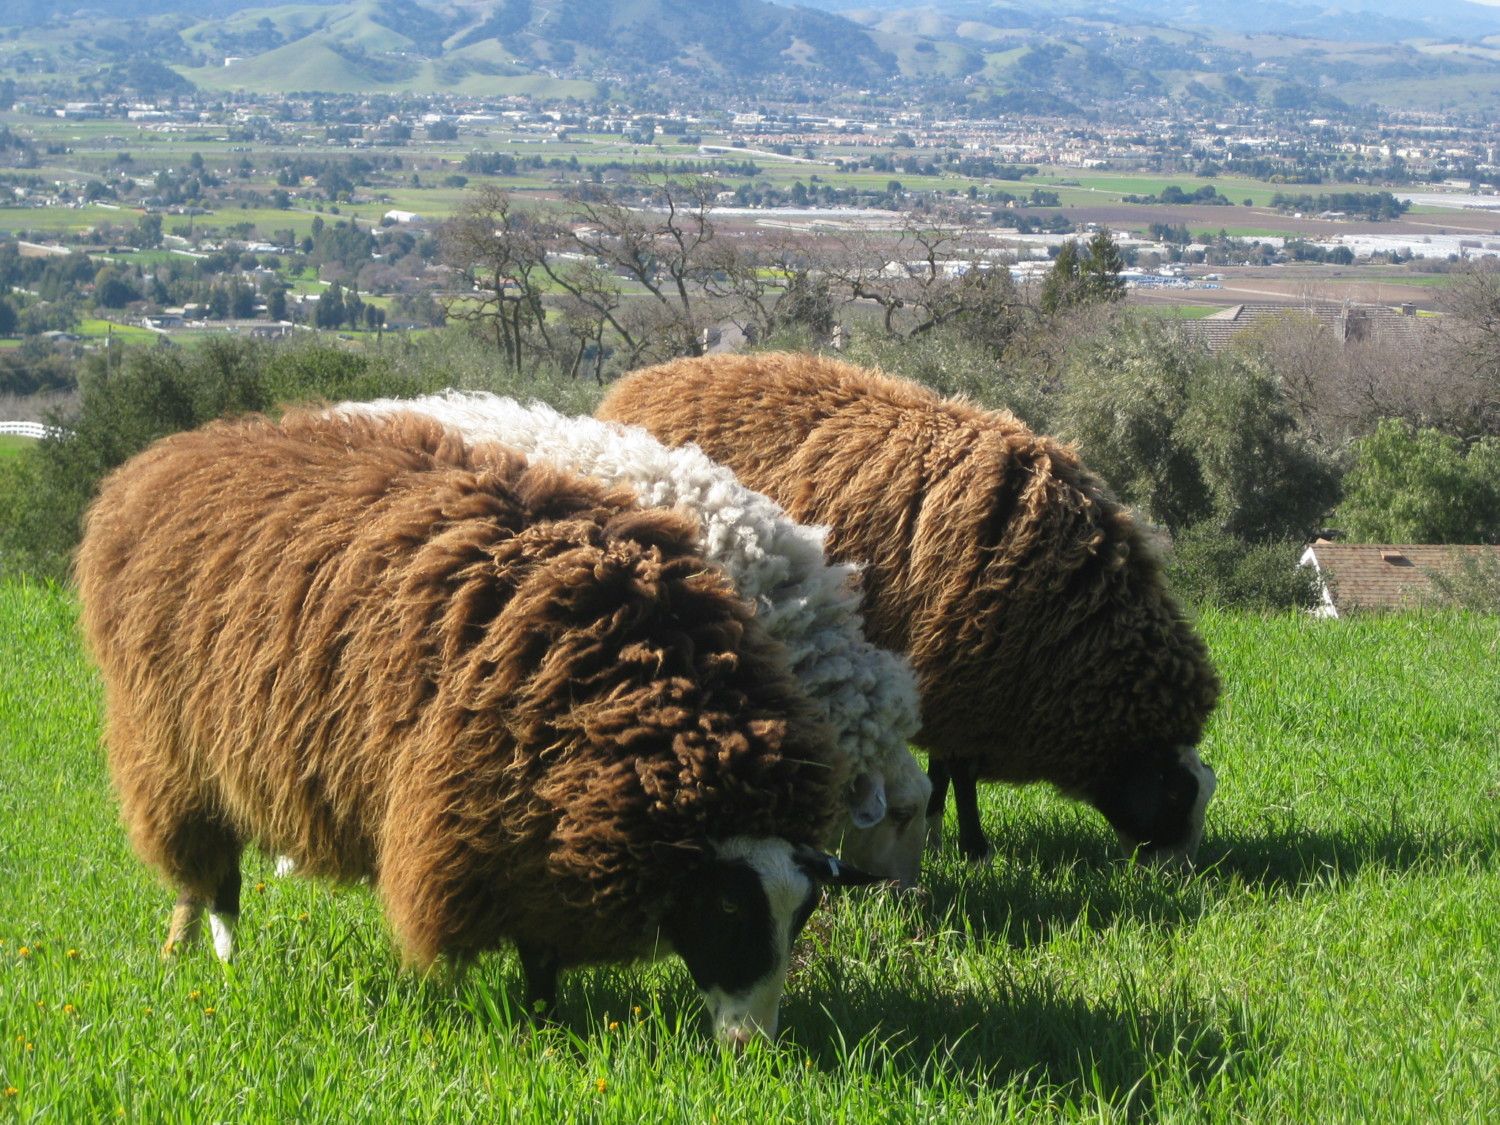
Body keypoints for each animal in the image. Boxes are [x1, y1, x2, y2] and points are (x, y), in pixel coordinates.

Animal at [74, 408, 881, 1046]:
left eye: (803, 915)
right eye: (725, 906)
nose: (751, 1047)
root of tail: (176, 452)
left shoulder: (541, 828)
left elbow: (543, 953)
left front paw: (544, 1019)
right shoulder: (471, 820)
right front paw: (510, 1023)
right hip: (169, 749)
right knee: (208, 876)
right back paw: (208, 958)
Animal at [598, 352, 1222, 868]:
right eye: (1173, 791)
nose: (1179, 876)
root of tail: (642, 381)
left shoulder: (955, 683)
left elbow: (945, 769)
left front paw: (943, 829)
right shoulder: (958, 676)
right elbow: (960, 770)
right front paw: (972, 846)